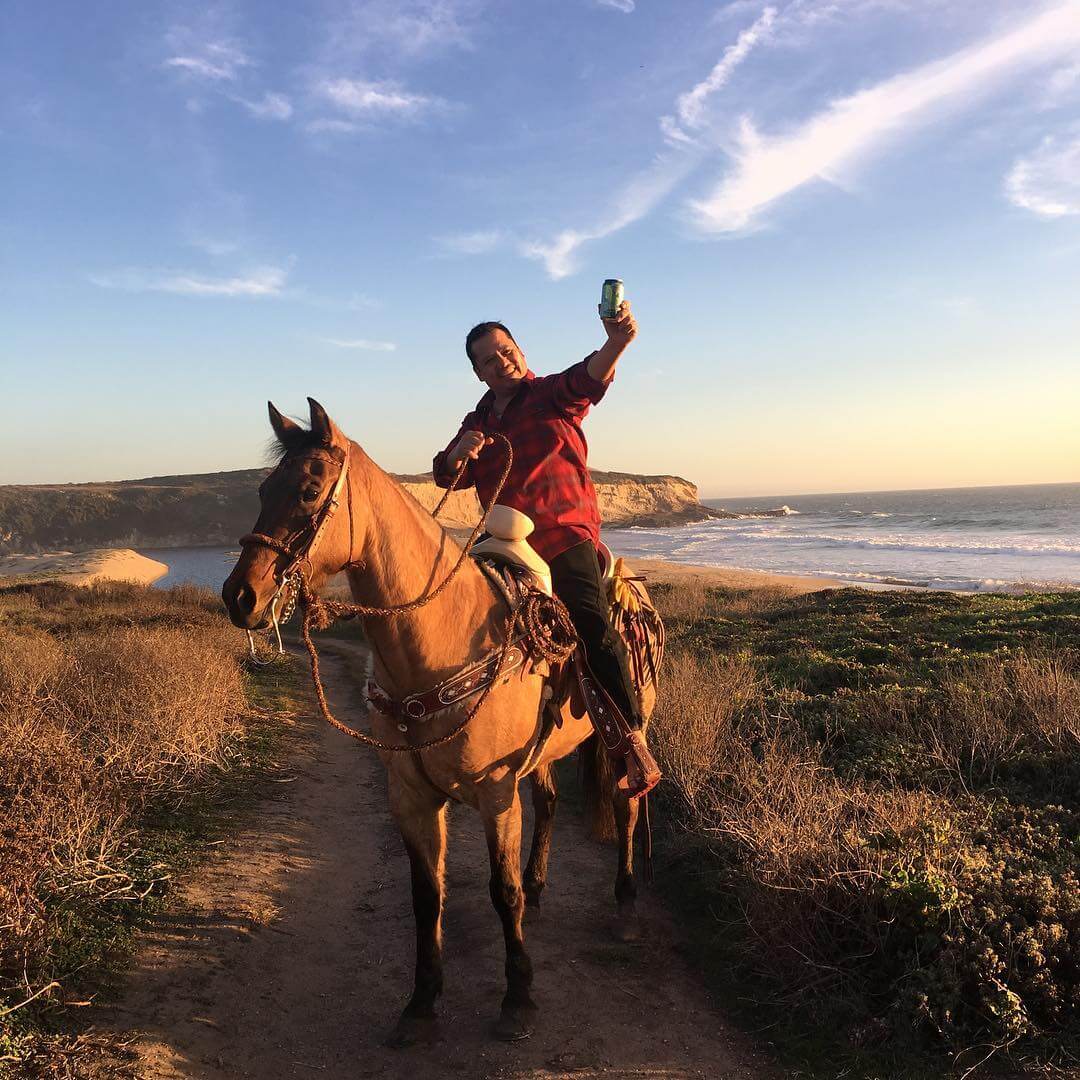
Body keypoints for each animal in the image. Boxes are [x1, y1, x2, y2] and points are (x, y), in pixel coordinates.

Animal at [223, 399, 652, 1045]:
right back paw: (542, 885)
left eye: (308, 490)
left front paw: (518, 999)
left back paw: (626, 905)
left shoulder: (496, 793)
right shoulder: (411, 795)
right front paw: (421, 1002)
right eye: (261, 489)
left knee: (626, 805)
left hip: (630, 733)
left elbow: (502, 893)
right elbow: (427, 897)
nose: (240, 596)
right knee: (550, 802)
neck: (439, 642)